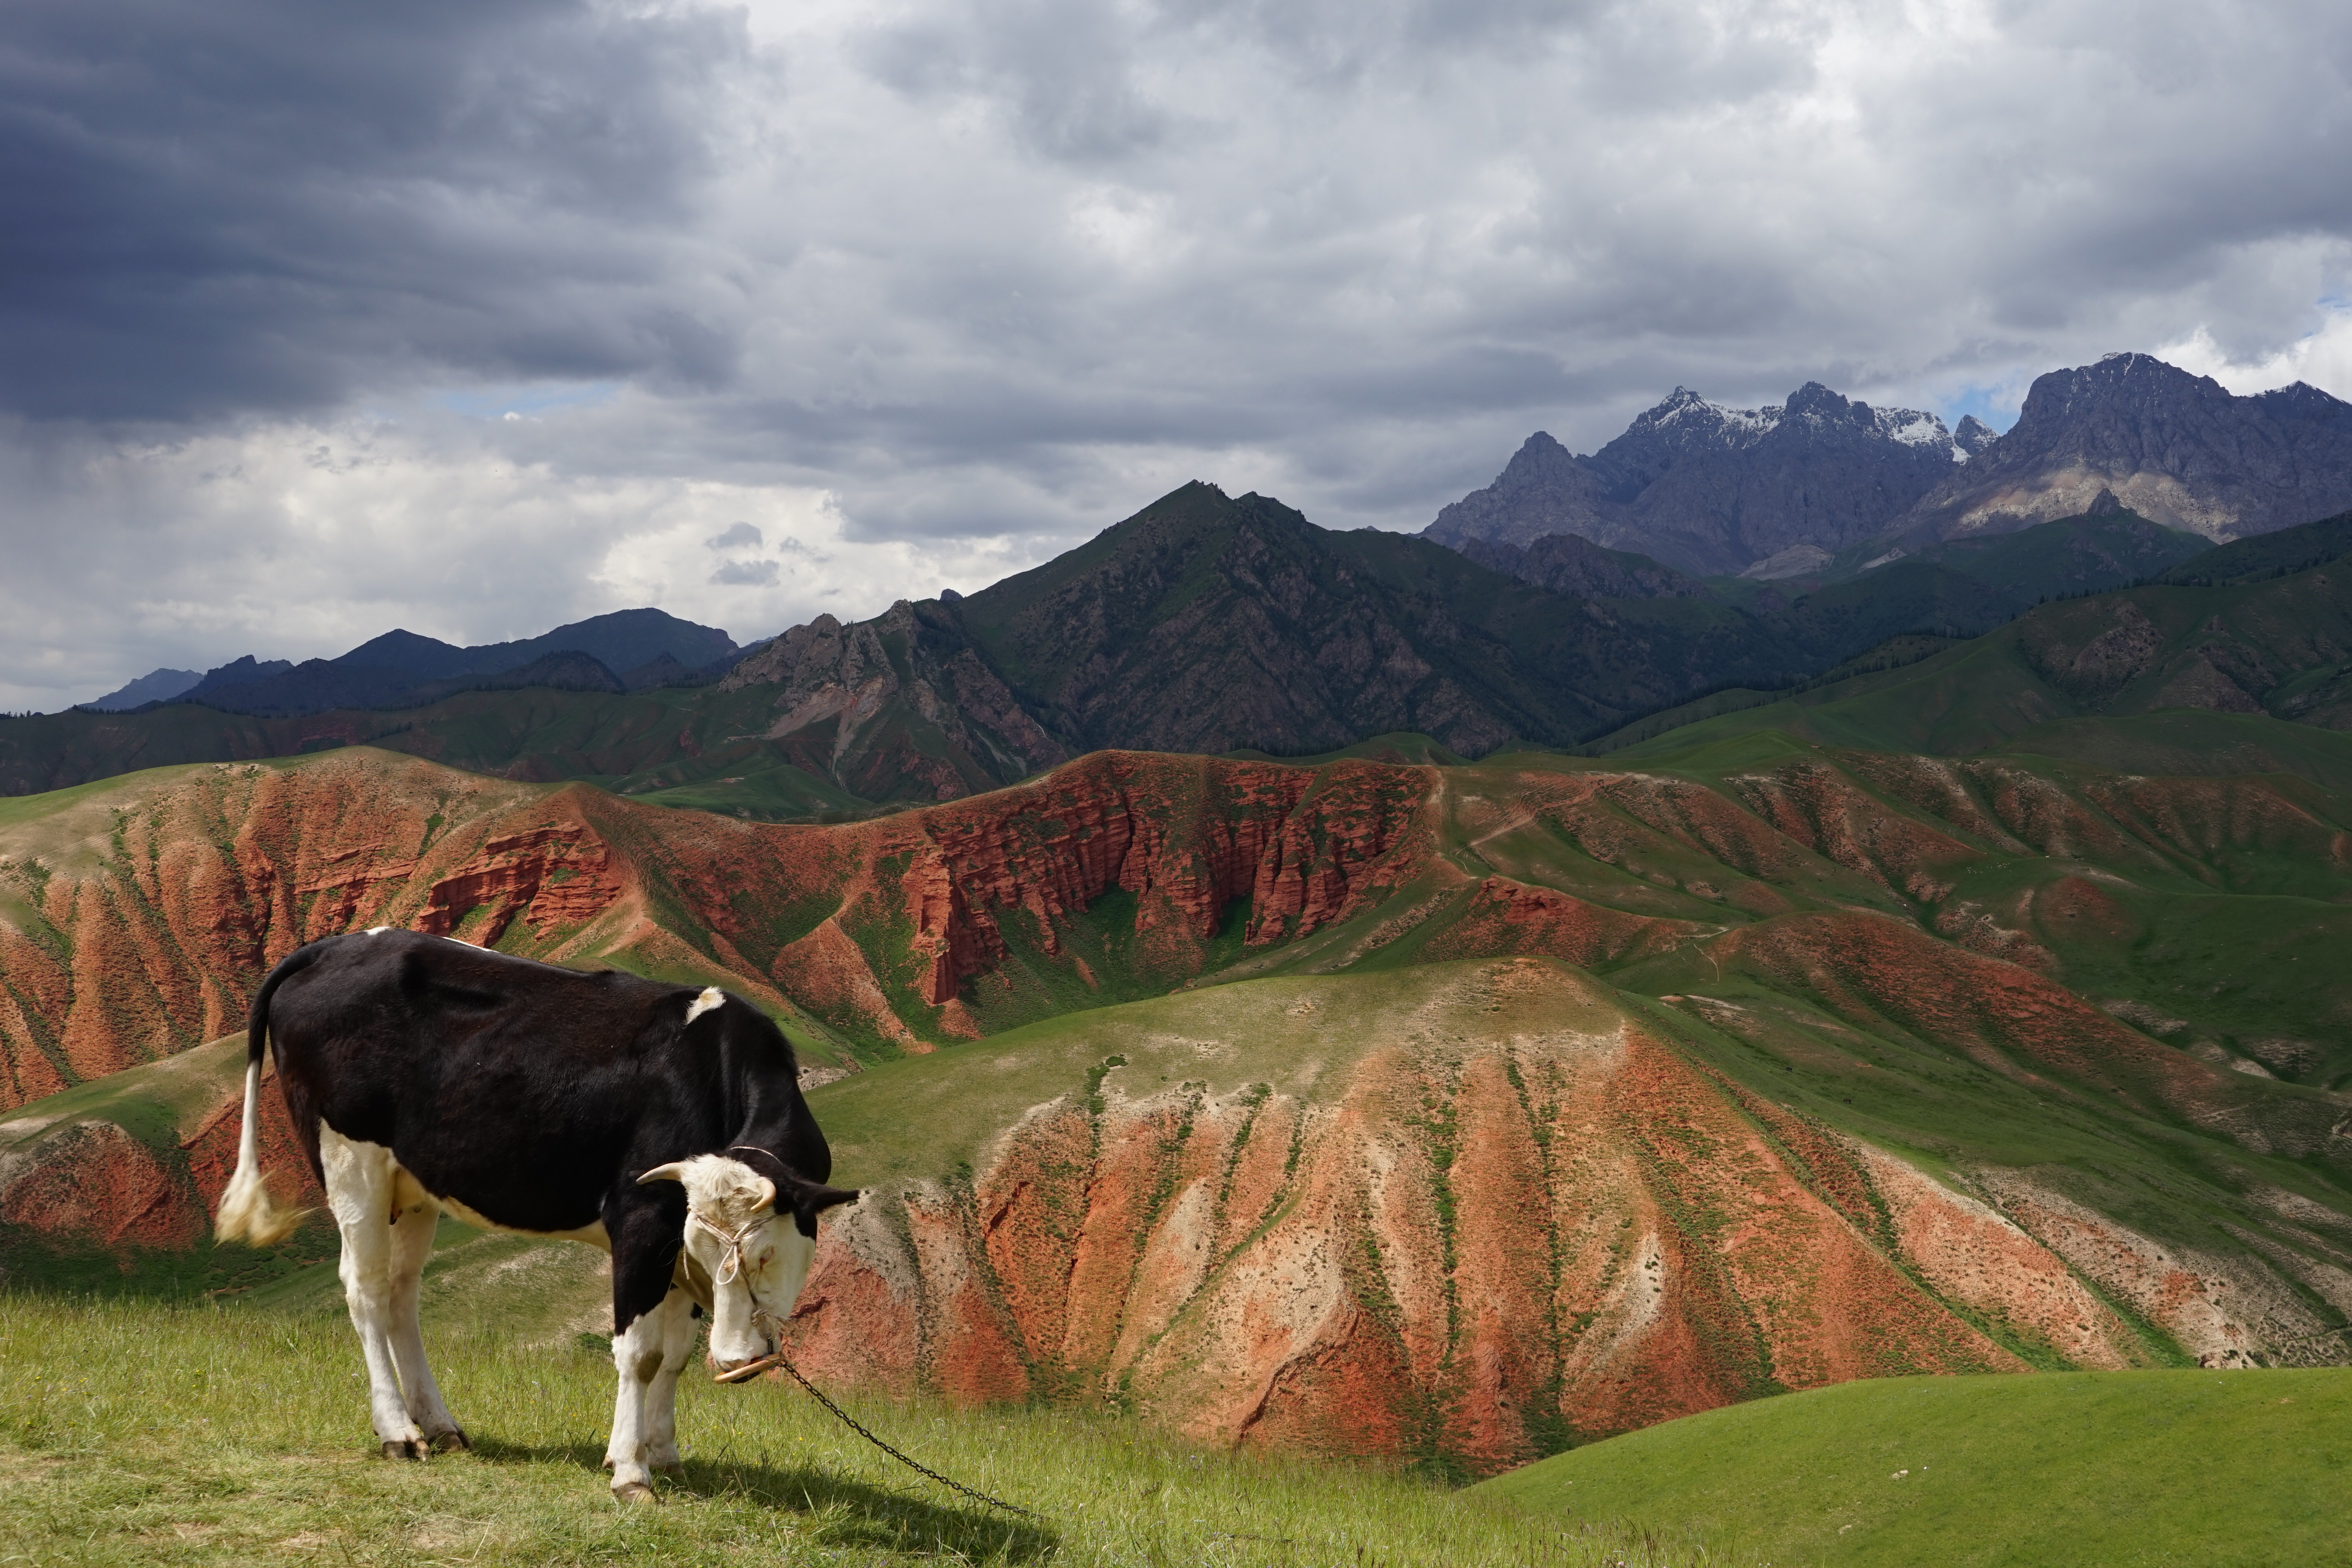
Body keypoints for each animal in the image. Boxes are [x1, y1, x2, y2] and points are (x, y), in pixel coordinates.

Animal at [216, 926, 861, 1504]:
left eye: (763, 1253)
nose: (735, 1362)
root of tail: (329, 948)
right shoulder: (641, 1219)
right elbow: (642, 1354)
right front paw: (631, 1472)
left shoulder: (672, 1240)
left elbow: (675, 1354)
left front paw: (664, 1454)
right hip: (352, 1162)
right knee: (366, 1291)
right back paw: (399, 1432)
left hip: (415, 1186)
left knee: (402, 1294)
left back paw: (442, 1426)